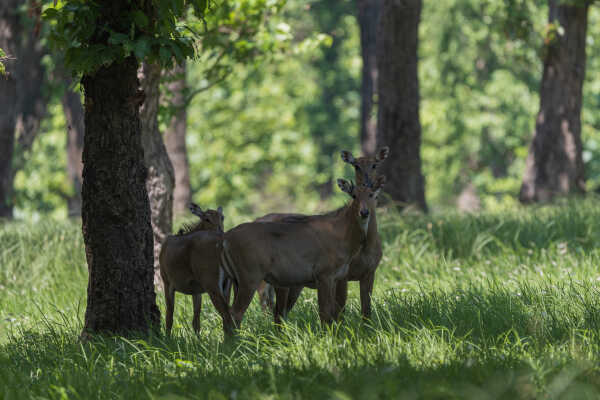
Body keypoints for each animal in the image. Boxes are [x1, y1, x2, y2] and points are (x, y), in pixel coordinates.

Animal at [159, 205, 234, 336]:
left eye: (222, 217)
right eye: (207, 219)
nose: (221, 231)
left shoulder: (167, 281)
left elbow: (169, 316)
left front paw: (167, 338)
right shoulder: (196, 289)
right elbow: (196, 321)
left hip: (211, 283)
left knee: (226, 314)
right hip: (226, 284)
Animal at [220, 178, 384, 328]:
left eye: (371, 195)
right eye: (354, 195)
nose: (364, 212)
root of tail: (226, 239)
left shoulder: (345, 275)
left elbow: (346, 311)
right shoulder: (324, 274)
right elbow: (326, 313)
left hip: (240, 280)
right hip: (252, 277)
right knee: (242, 312)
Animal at [256, 147, 390, 322]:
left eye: (375, 164)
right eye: (356, 166)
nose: (367, 183)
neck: (365, 248)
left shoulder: (370, 271)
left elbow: (366, 310)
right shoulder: (341, 275)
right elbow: (339, 308)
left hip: (294, 284)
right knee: (270, 305)